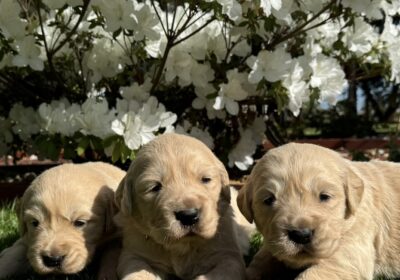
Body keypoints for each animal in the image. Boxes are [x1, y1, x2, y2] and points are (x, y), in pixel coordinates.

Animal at [114, 133, 248, 280]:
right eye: (154, 187)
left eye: (205, 179)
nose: (188, 216)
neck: (183, 246)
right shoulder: (135, 254)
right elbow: (138, 273)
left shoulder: (227, 256)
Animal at [238, 143, 400, 278]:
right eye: (269, 200)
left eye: (324, 196)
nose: (301, 235)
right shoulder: (272, 245)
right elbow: (259, 261)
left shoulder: (351, 253)